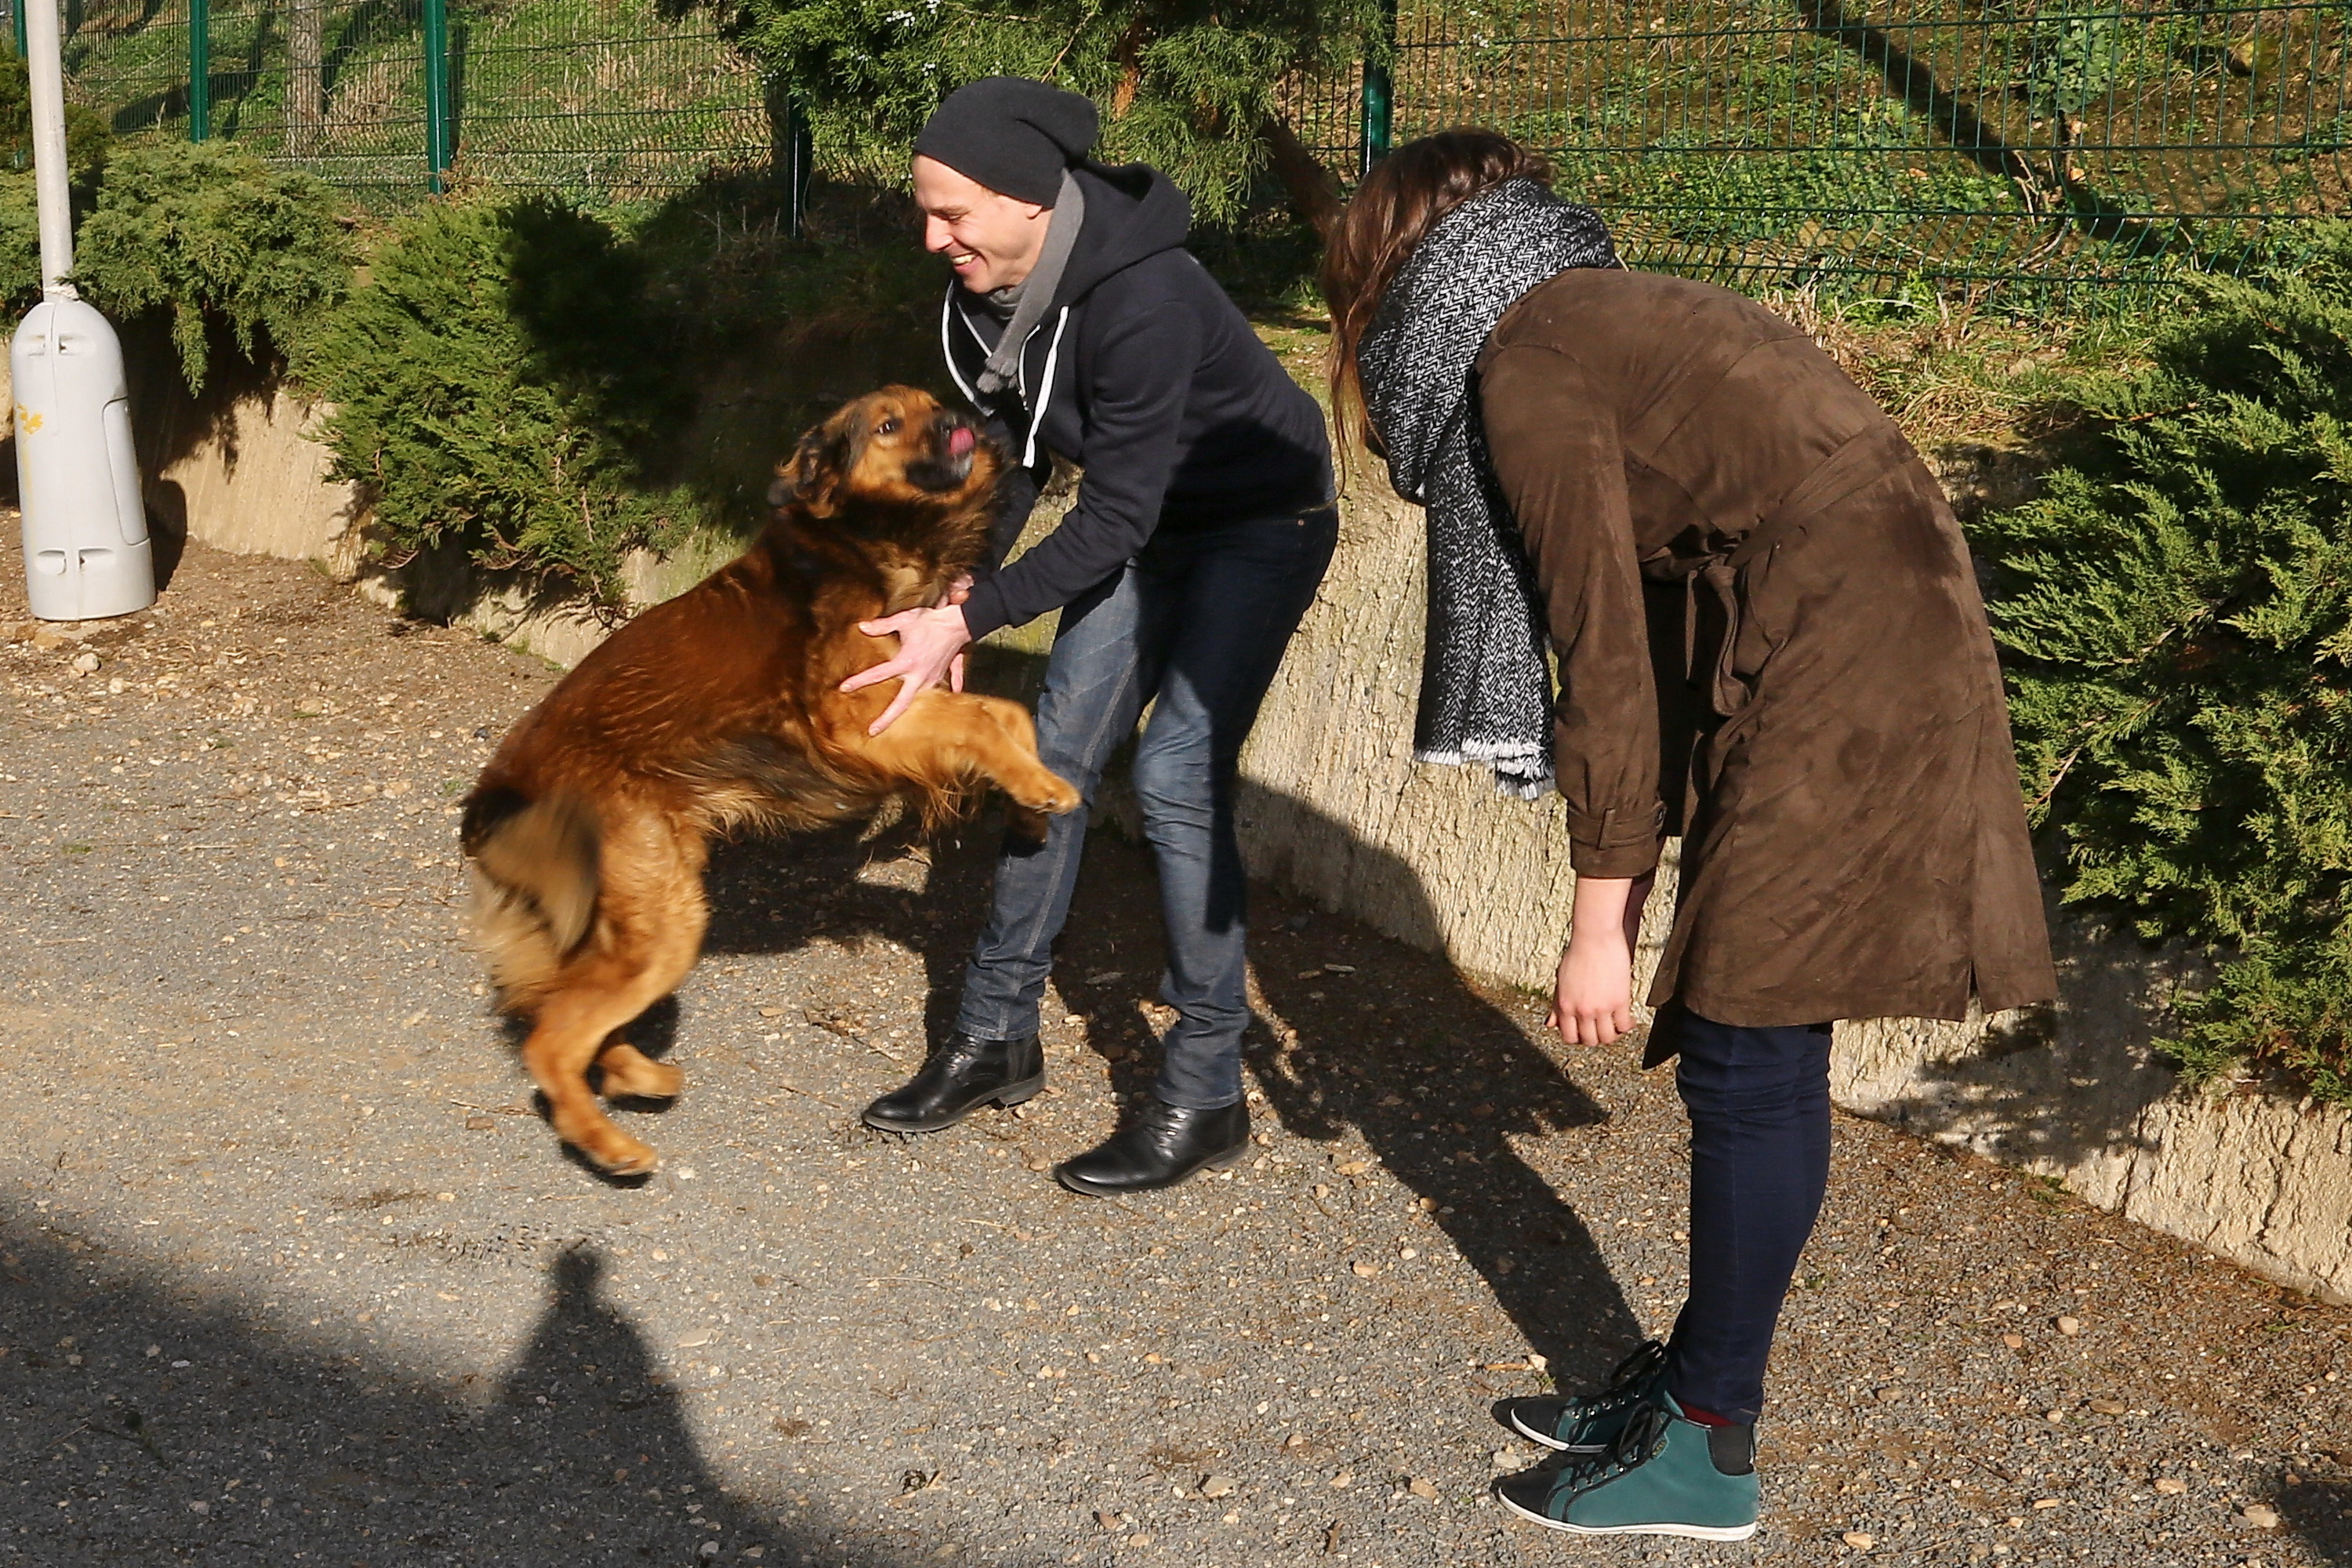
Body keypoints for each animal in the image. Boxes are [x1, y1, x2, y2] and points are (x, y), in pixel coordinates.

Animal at [459, 386, 1080, 1175]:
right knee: (552, 1037)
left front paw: (1030, 798)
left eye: (934, 402)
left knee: (571, 1015)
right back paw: (607, 1142)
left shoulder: (913, 688)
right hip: (664, 919)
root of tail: (501, 789)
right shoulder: (858, 719)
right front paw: (1045, 789)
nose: (960, 419)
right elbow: (980, 721)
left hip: (639, 903)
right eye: (889, 425)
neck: (869, 538)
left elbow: (1006, 713)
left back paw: (635, 1074)